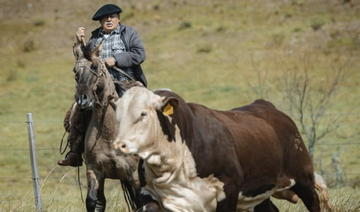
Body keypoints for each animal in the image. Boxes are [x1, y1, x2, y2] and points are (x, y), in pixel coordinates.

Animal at [113, 86, 320, 212]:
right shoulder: (152, 195)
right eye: (118, 116)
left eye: (143, 114)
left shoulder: (228, 190)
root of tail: (264, 104)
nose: (119, 145)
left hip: (304, 178)